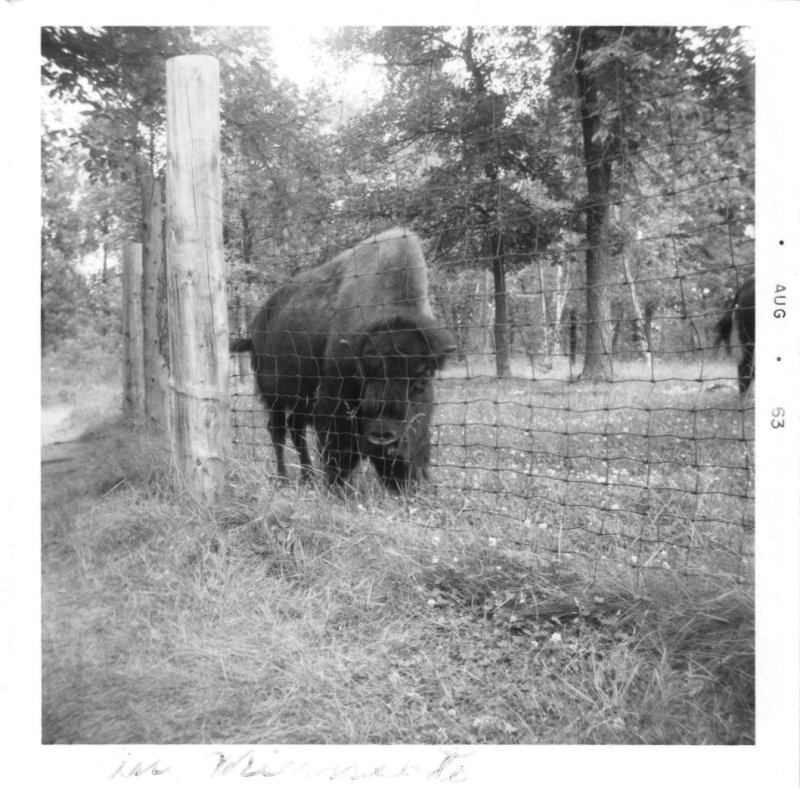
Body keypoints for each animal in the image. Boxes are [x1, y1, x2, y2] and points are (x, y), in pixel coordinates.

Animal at [231, 228, 456, 489]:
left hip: (299, 398)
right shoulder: (334, 396)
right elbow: (338, 444)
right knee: (277, 431)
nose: (382, 439)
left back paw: (307, 477)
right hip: (274, 395)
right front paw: (336, 486)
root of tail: (256, 326)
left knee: (296, 430)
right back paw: (284, 478)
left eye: (421, 380)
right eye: (363, 377)